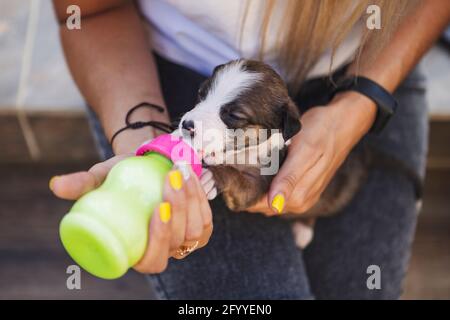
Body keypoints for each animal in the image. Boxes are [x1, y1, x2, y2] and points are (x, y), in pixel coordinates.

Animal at [178, 58, 368, 248]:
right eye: (201, 94)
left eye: (234, 115)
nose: (186, 125)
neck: (245, 152)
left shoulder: (257, 186)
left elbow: (236, 176)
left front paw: (212, 176)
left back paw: (303, 230)